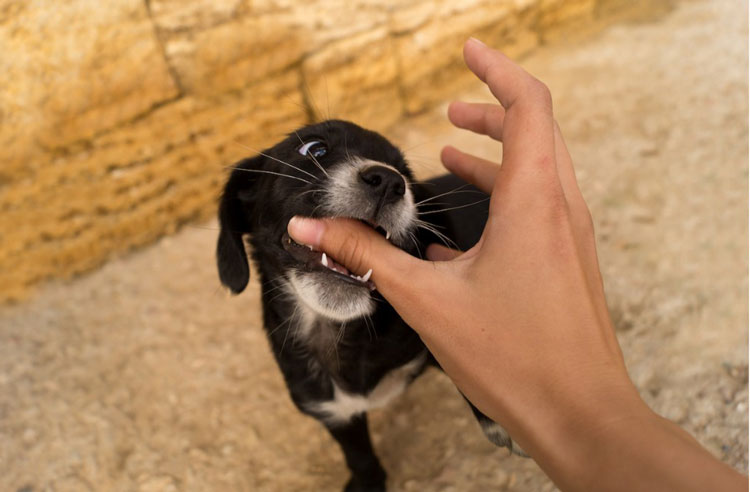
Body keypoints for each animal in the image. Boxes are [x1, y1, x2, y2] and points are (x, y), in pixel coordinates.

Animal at [214, 120, 524, 492]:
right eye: (314, 149)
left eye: (406, 173)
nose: (390, 181)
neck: (340, 333)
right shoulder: (332, 410)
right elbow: (358, 455)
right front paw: (367, 482)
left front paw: (498, 418)